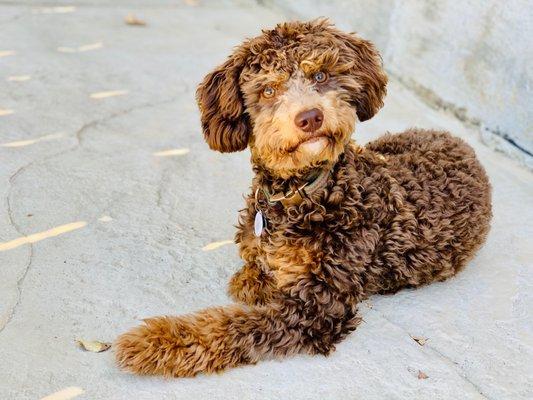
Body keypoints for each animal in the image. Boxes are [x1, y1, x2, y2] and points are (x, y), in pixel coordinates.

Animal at [115, 18, 490, 376]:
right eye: (268, 90)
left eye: (320, 75)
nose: (310, 117)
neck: (304, 194)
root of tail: (460, 142)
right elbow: (254, 269)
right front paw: (253, 278)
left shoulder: (316, 308)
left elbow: (232, 325)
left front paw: (156, 342)